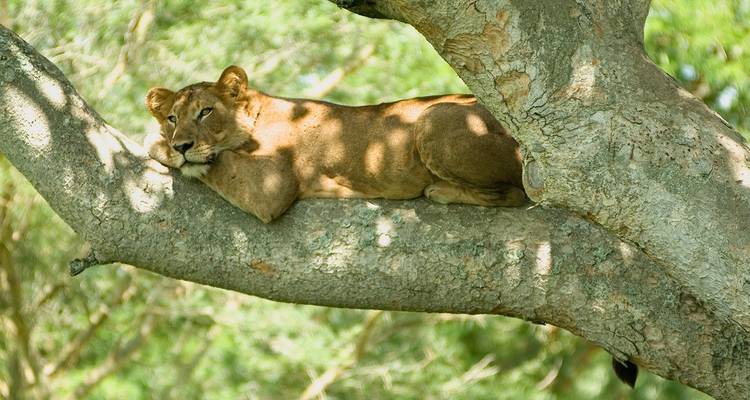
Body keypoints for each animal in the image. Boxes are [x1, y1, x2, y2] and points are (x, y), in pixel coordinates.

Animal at [144, 66, 525, 223]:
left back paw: (441, 191)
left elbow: (220, 164)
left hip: (433, 117)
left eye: (206, 112)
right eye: (172, 118)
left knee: (515, 194)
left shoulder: (271, 189)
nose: (181, 145)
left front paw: (158, 144)